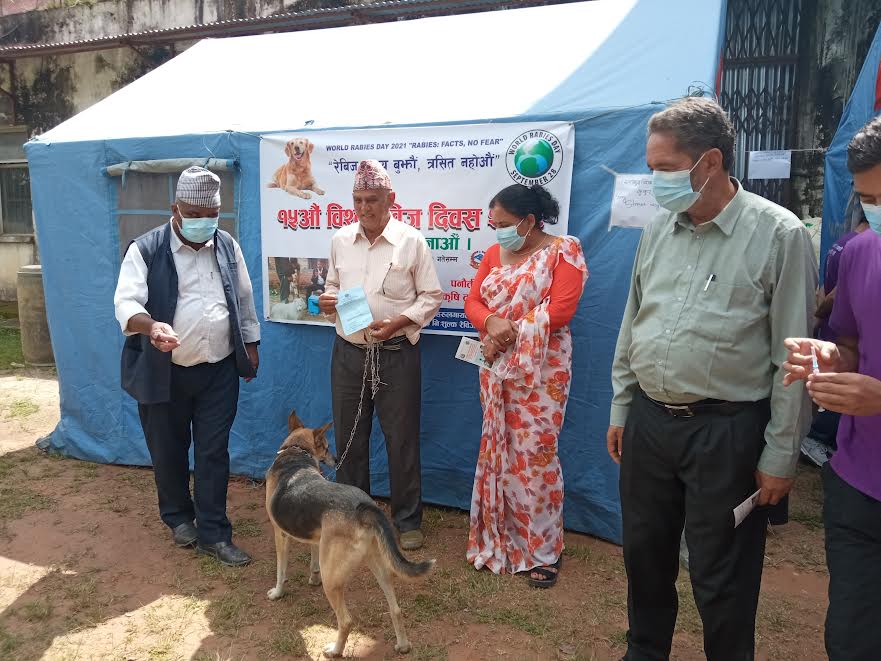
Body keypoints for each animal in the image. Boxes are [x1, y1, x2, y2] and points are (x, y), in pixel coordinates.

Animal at [264, 408, 436, 656]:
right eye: (326, 447)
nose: (336, 459)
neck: (296, 455)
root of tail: (363, 508)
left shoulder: (280, 535)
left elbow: (281, 570)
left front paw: (277, 593)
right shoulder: (316, 537)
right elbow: (313, 559)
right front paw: (312, 578)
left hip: (333, 579)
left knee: (346, 621)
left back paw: (334, 651)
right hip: (378, 564)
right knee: (395, 608)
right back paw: (403, 645)